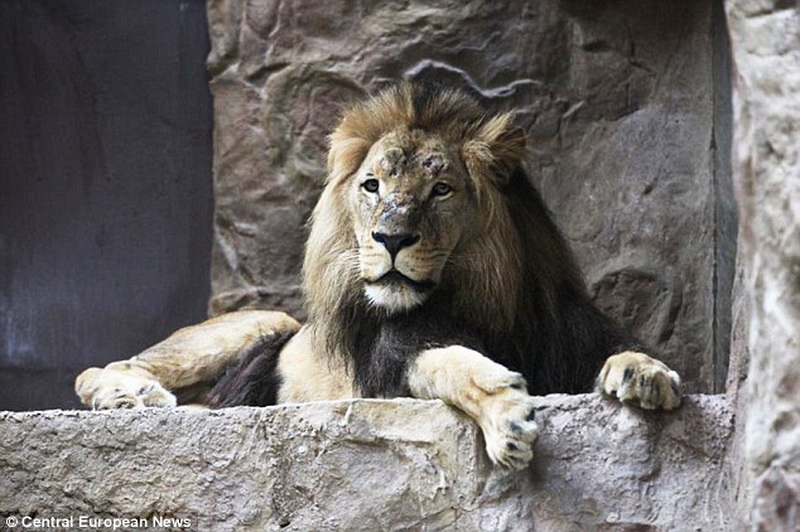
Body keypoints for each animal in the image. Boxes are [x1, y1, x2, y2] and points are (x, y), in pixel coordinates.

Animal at [75, 82, 680, 470]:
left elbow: (618, 350)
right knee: (101, 368)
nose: (390, 238)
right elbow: (448, 363)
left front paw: (647, 372)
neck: (484, 299)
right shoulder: (390, 370)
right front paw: (505, 416)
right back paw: (132, 395)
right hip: (254, 323)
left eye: (441, 189)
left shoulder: (567, 335)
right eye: (372, 186)